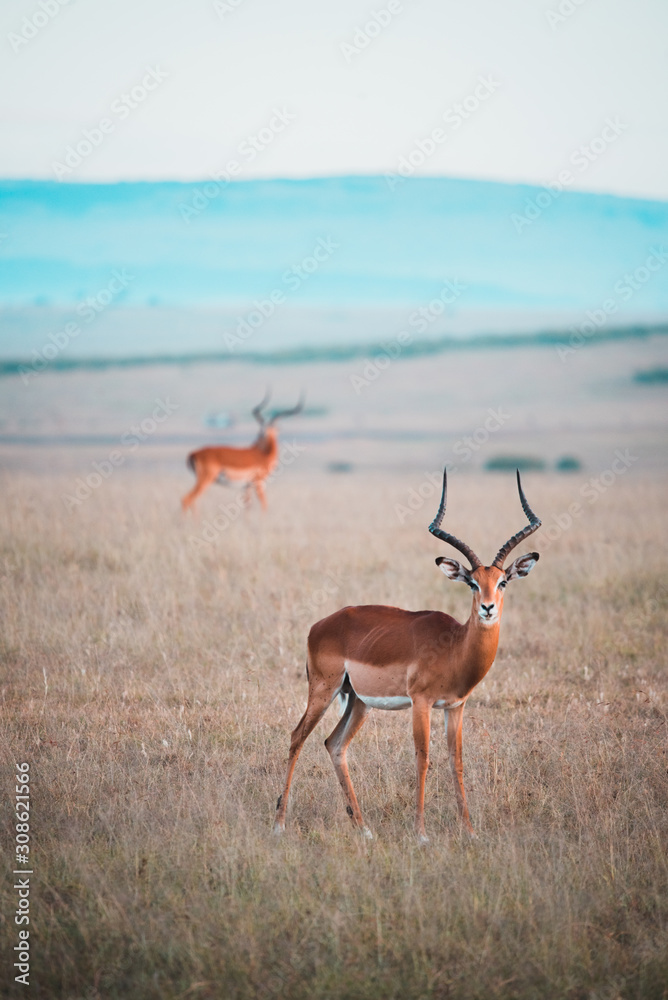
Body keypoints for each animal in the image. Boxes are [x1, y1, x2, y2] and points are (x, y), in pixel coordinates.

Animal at [274, 468, 541, 844]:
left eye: (502, 581)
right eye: (472, 582)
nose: (488, 608)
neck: (454, 646)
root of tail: (320, 624)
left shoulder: (455, 706)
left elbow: (456, 760)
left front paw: (470, 831)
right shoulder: (421, 702)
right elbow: (423, 758)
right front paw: (421, 833)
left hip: (358, 701)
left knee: (334, 744)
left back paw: (364, 828)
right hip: (323, 691)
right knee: (297, 737)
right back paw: (280, 824)